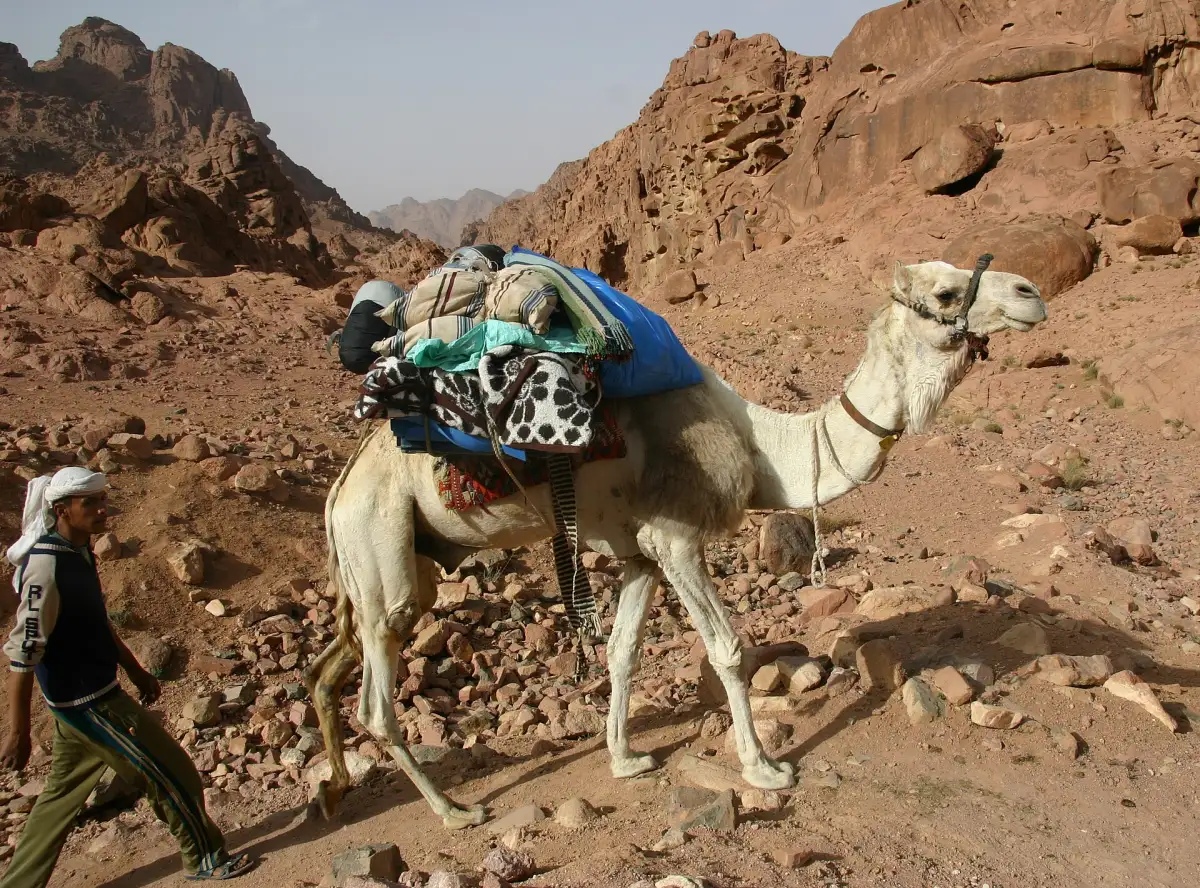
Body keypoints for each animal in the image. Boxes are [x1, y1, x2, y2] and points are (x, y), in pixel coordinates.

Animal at [303, 258, 1047, 829]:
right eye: (946, 293)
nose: (1029, 293)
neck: (758, 441)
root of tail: (337, 494)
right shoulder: (678, 536)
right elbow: (729, 649)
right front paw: (765, 767)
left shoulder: (640, 553)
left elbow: (622, 651)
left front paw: (625, 759)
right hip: (379, 540)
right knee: (377, 696)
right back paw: (455, 811)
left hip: (398, 555)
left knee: (339, 665)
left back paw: (336, 790)